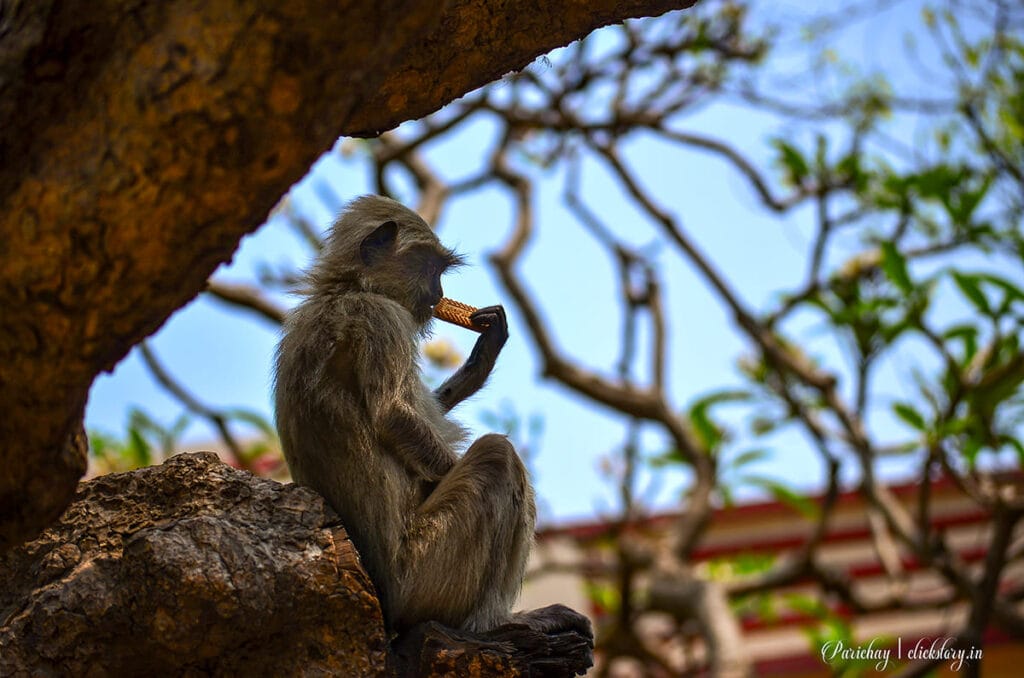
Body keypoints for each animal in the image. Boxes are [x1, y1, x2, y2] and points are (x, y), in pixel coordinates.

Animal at [273, 195, 591, 640]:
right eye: (431, 268)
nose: (440, 292)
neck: (341, 291)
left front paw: (481, 359)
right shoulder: (381, 317)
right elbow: (392, 416)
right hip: (424, 573)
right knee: (497, 456)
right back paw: (494, 624)